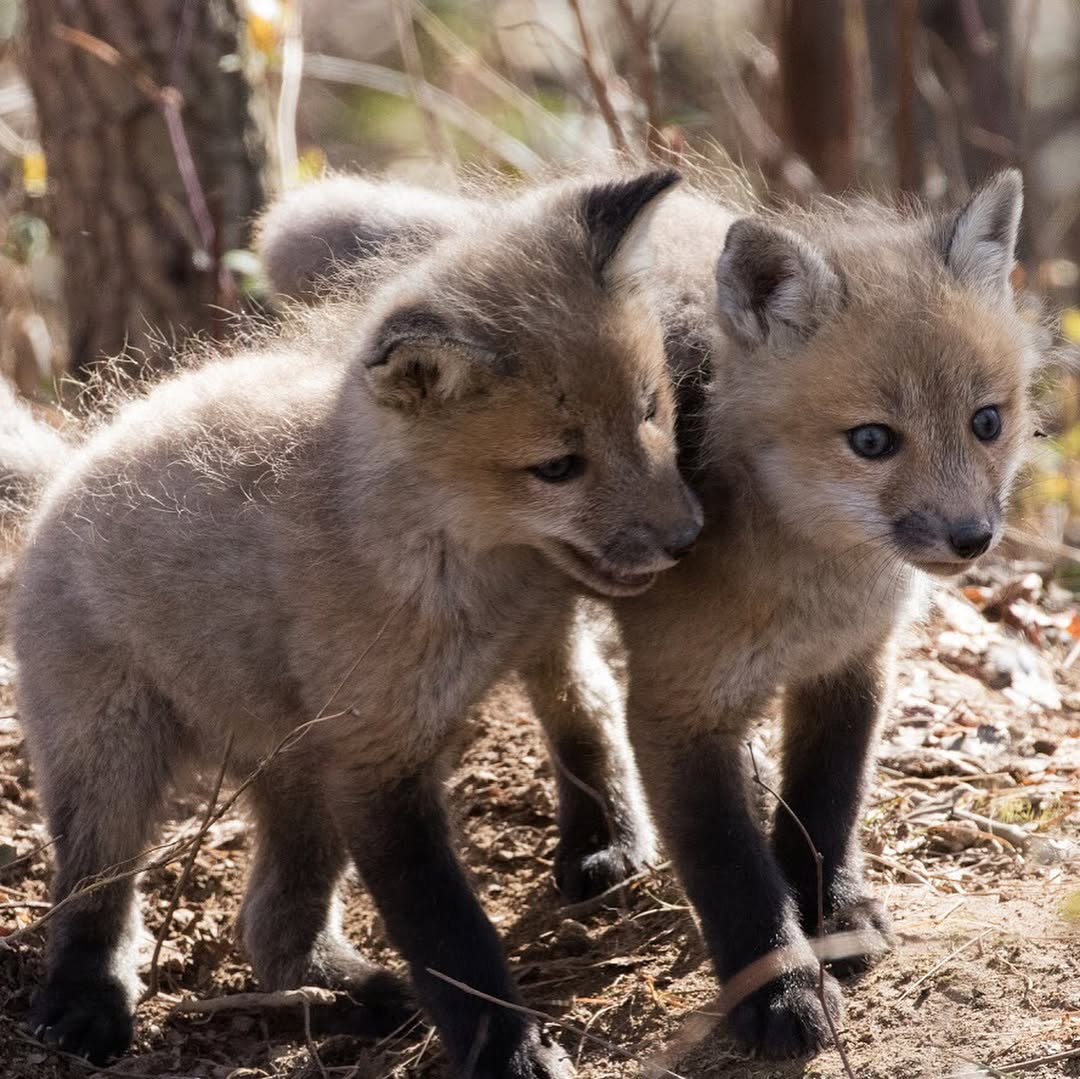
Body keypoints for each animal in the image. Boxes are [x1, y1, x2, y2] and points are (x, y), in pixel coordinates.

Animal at [8, 169, 704, 1078]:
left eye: (651, 409)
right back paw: (85, 1003)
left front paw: (609, 838)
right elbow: (449, 936)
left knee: (271, 928)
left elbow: (587, 717)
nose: (687, 536)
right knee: (94, 895)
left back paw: (350, 994)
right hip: (115, 760)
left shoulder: (543, 631)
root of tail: (64, 475)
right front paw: (509, 1050)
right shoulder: (377, 759)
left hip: (298, 773)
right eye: (557, 466)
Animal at [266, 167, 1045, 1060]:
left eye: (987, 421)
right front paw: (780, 991)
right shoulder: (679, 705)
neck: (818, 586)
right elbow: (730, 866)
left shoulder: (853, 664)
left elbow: (826, 803)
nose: (971, 537)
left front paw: (832, 914)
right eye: (873, 440)